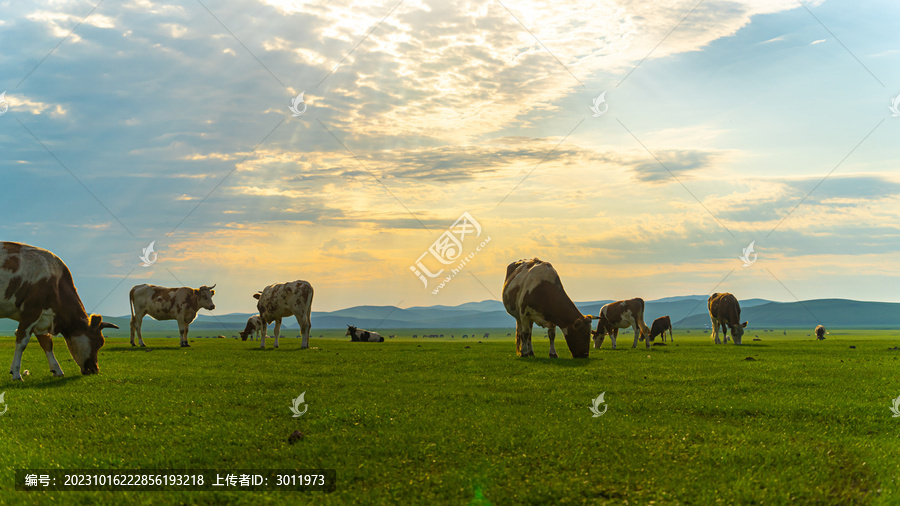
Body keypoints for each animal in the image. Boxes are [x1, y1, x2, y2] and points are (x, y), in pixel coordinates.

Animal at [0, 242, 119, 380]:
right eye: (100, 342)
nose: (95, 369)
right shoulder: (31, 311)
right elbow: (21, 342)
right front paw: (16, 373)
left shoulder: (42, 318)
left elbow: (47, 343)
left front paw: (57, 370)